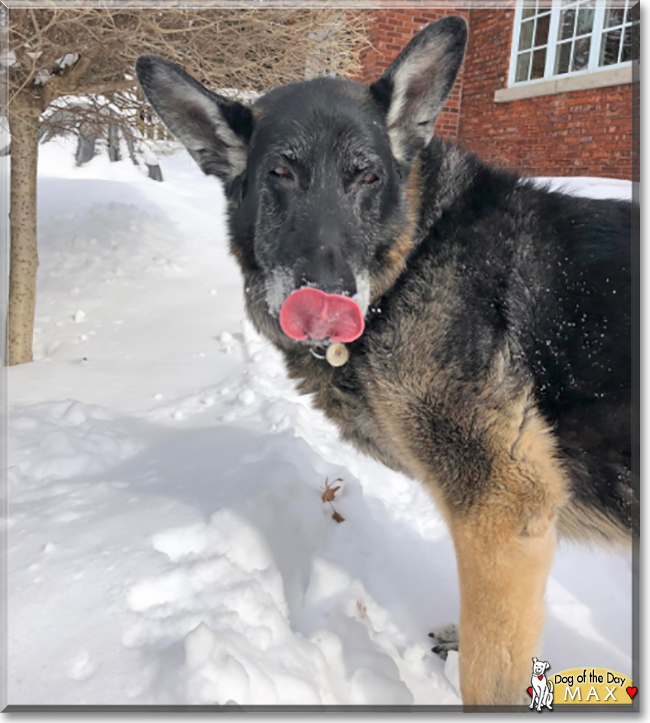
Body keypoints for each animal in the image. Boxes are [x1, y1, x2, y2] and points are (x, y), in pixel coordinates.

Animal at [134, 15, 632, 708]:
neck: (416, 250)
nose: (327, 296)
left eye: (366, 177)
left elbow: (488, 673)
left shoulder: (504, 512)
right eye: (280, 173)